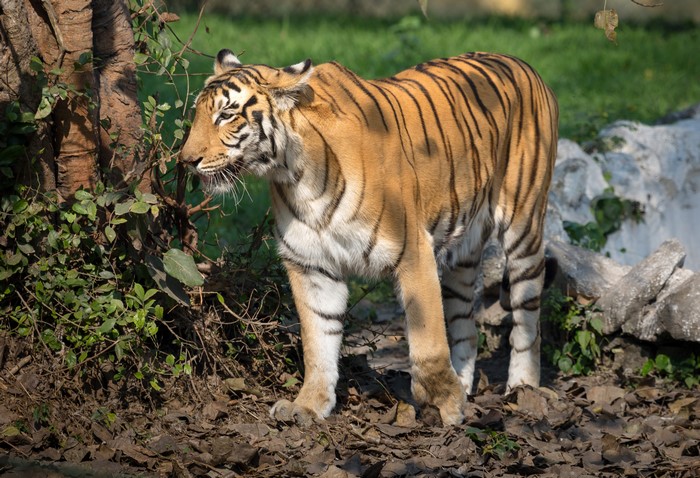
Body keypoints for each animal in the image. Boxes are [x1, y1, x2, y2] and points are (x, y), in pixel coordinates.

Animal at [180, 48, 558, 426]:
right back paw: (465, 387)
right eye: (198, 113)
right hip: (462, 255)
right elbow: (318, 342)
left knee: (528, 320)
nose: (186, 161)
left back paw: (522, 388)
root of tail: (521, 62)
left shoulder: (413, 252)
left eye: (226, 115)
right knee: (466, 324)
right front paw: (308, 405)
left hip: (524, 228)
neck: (296, 174)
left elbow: (428, 341)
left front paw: (443, 405)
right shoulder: (312, 266)